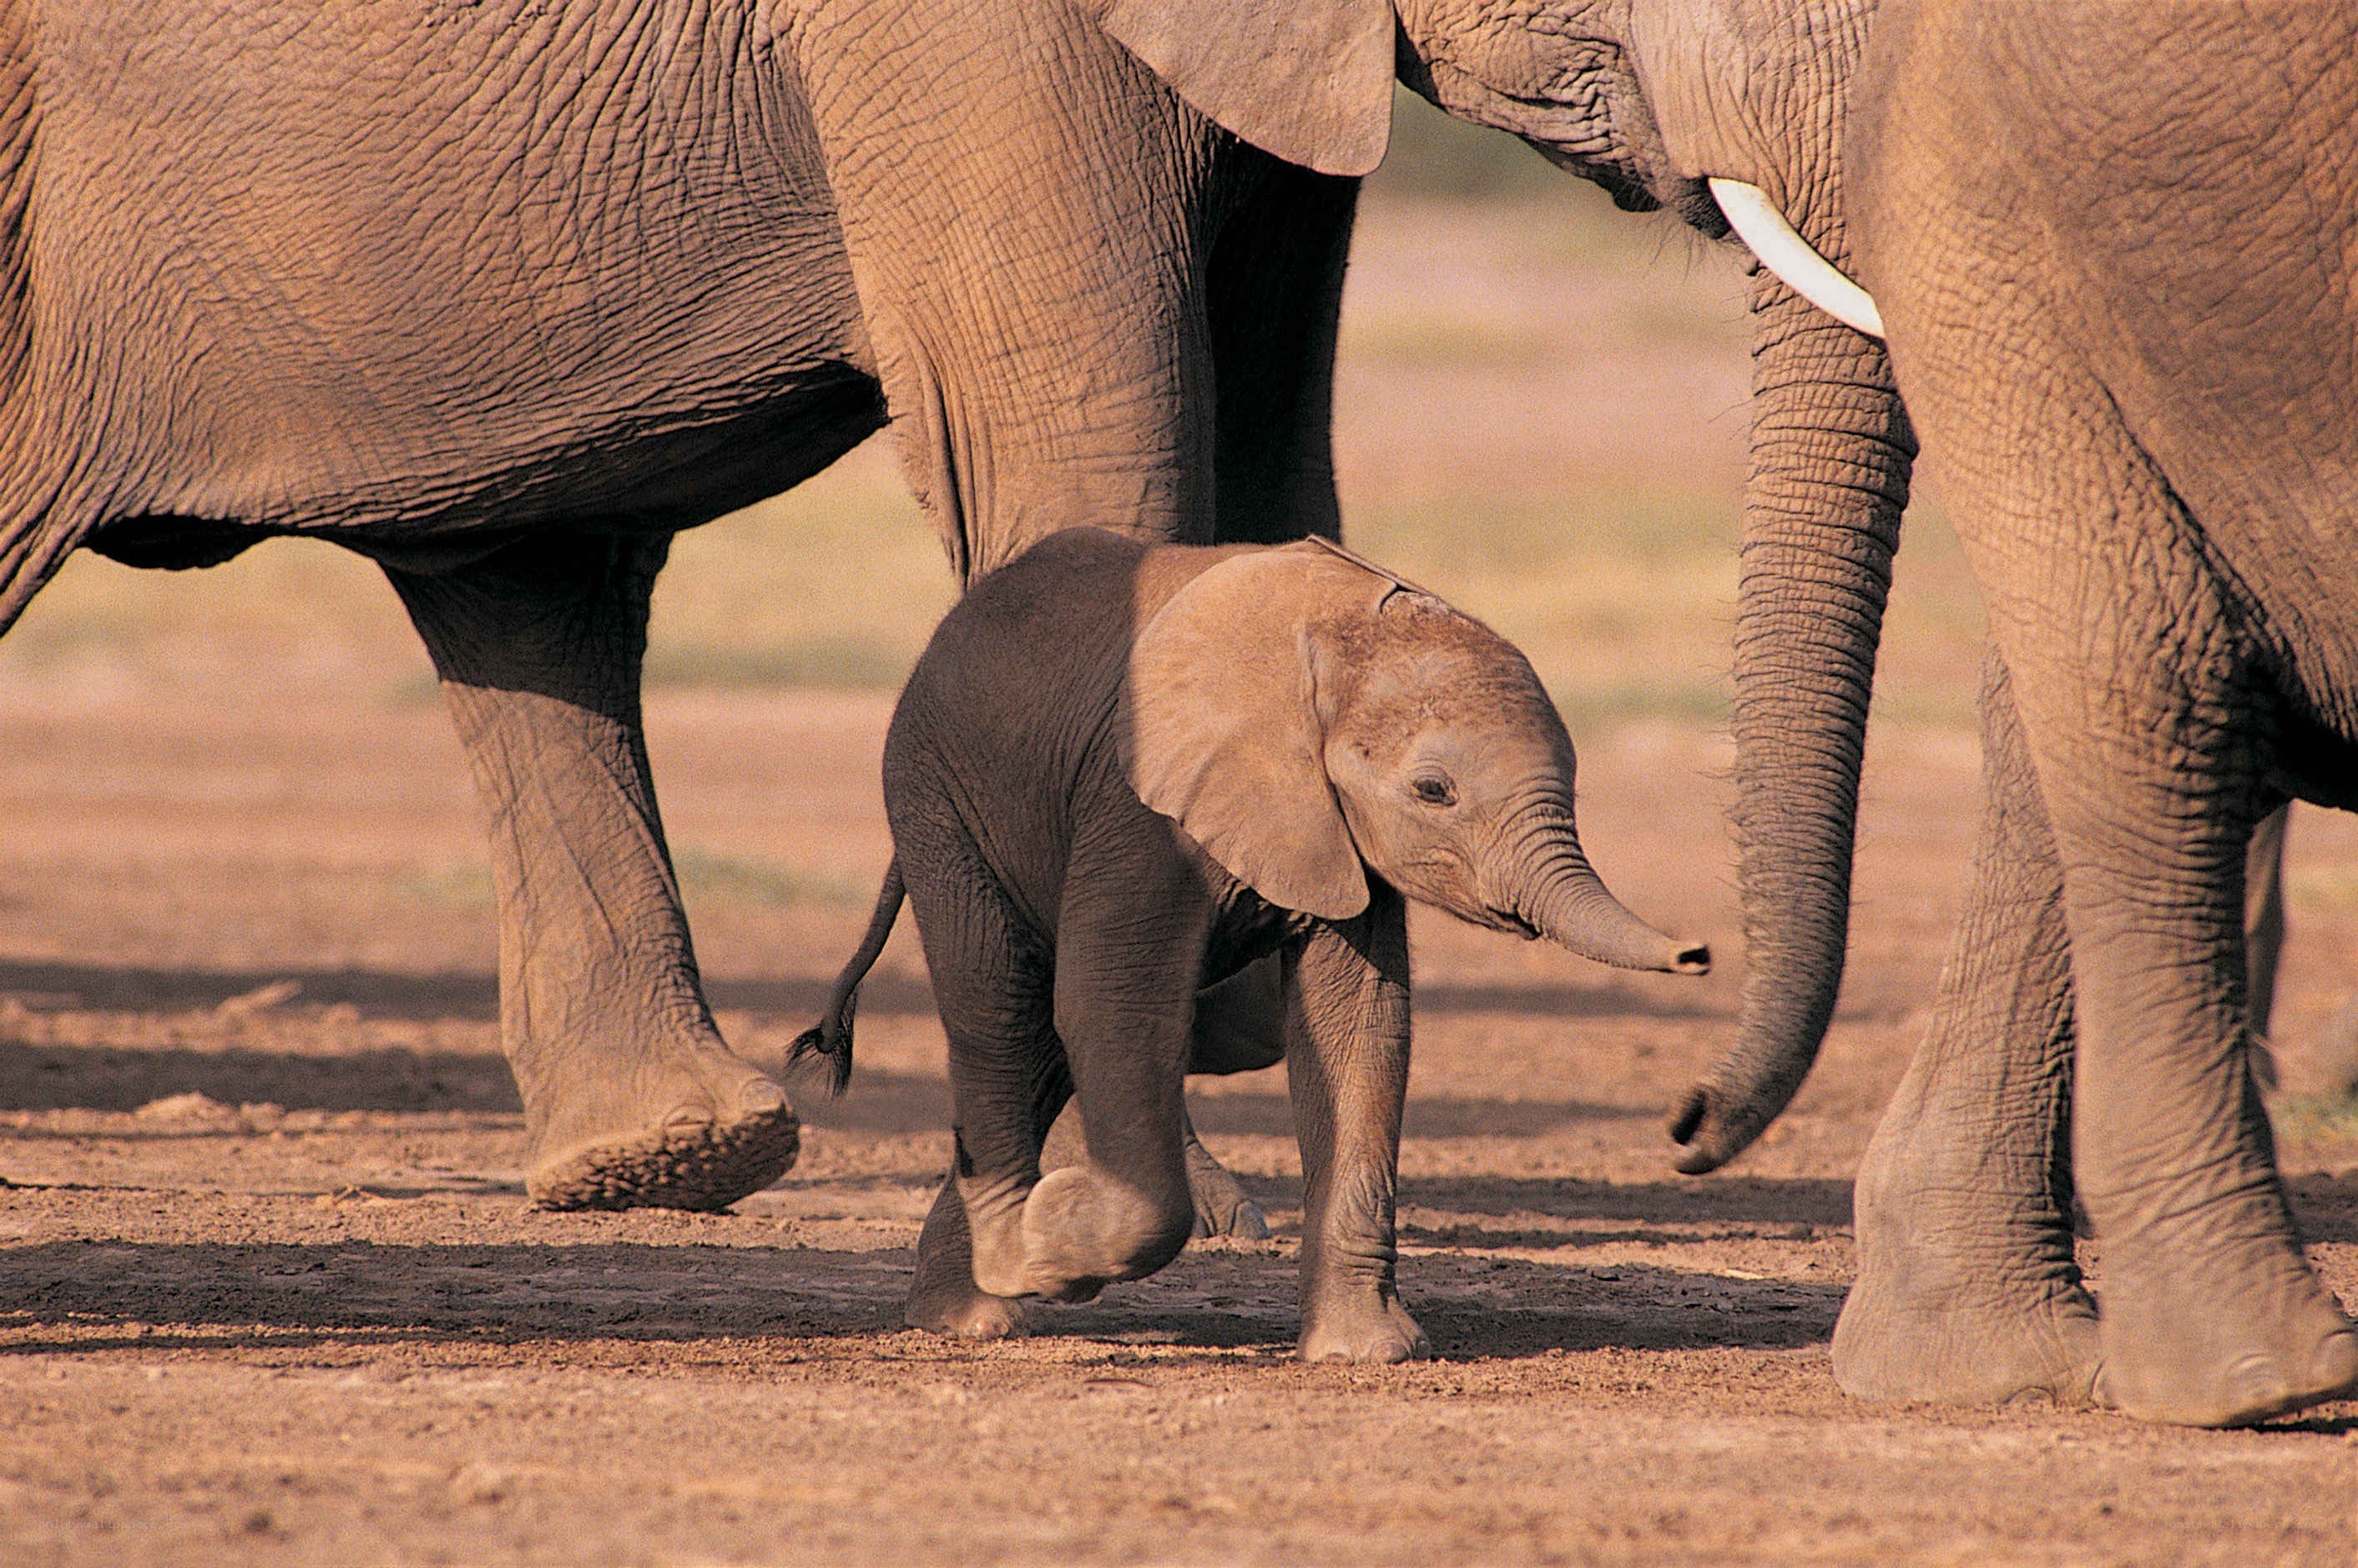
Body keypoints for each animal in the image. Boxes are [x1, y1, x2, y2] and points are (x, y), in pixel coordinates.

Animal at [790, 527, 1707, 1358]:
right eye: (1432, 790)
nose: (1697, 955)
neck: (1337, 640)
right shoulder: (1136, 802)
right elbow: (1112, 1004)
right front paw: (1052, 1248)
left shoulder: (1333, 831)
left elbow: (1361, 1028)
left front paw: (1367, 1352)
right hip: (937, 798)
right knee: (1003, 1010)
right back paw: (995, 1295)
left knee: (1040, 1044)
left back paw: (965, 1298)